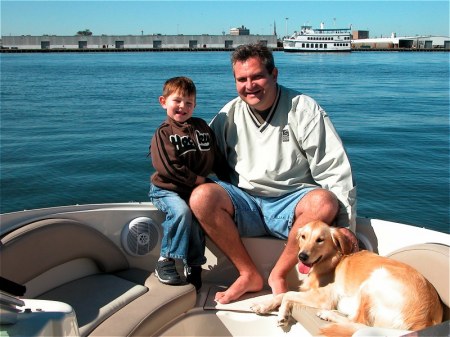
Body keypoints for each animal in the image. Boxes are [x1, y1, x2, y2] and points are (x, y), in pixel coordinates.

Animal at [251, 219, 444, 334]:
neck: (333, 261)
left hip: (374, 280)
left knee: (359, 323)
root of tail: (426, 321)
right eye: (303, 236)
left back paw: (329, 314)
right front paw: (263, 304)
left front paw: (282, 314)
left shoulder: (323, 297)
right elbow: (283, 294)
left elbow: (288, 295)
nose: (302, 256)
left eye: (320, 239)